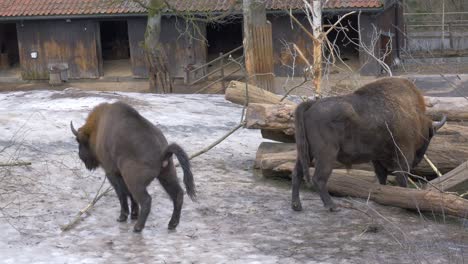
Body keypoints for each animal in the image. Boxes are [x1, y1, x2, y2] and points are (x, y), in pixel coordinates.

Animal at [70, 102, 196, 232]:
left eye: (80, 141)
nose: (80, 156)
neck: (98, 127)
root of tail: (163, 152)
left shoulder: (112, 173)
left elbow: (122, 194)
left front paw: (122, 217)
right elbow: (129, 194)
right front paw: (134, 214)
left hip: (136, 182)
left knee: (146, 200)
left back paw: (138, 227)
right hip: (166, 175)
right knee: (178, 195)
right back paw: (172, 224)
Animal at [292, 77, 446, 211]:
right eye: (429, 136)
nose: (417, 160)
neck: (415, 115)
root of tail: (311, 105)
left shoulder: (377, 158)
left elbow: (382, 176)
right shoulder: (403, 155)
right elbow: (401, 177)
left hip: (306, 152)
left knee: (297, 173)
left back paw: (297, 206)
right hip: (326, 155)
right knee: (318, 179)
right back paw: (332, 206)